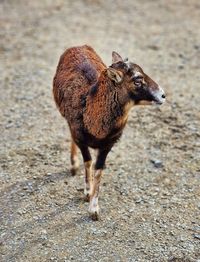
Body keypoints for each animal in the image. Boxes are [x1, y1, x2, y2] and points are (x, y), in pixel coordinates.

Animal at [52, 44, 165, 219]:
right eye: (137, 80)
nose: (162, 95)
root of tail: (78, 46)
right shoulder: (81, 139)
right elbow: (88, 162)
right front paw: (87, 194)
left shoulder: (107, 145)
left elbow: (98, 170)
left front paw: (94, 210)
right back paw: (73, 167)